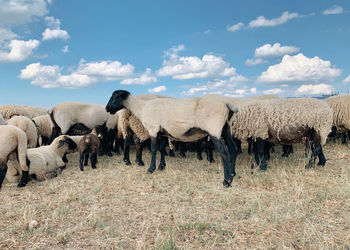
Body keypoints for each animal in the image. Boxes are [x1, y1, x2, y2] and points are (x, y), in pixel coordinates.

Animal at [105, 91, 239, 187]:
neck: (141, 108)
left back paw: (227, 181)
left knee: (224, 152)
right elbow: (161, 149)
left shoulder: (153, 129)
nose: (106, 109)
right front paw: (161, 166)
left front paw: (151, 169)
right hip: (226, 127)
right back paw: (233, 174)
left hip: (214, 128)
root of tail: (227, 103)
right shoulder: (163, 133)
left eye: (114, 96)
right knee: (233, 149)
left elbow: (154, 149)